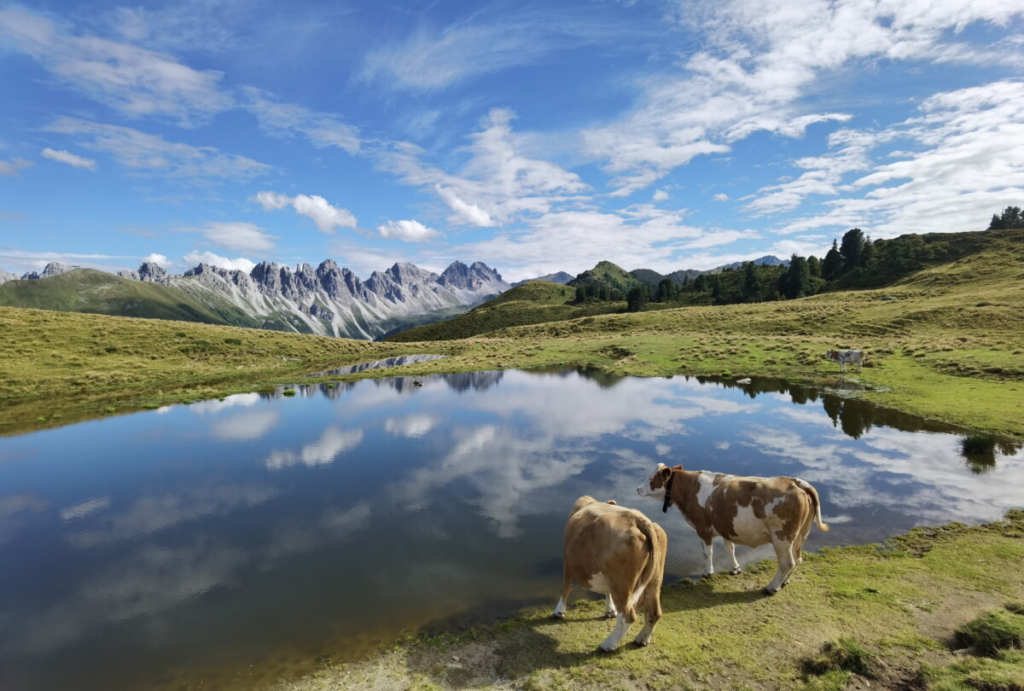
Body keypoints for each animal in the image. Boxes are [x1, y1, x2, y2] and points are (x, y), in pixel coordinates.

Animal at [554, 497, 668, 652]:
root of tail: (640, 520)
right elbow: (607, 593)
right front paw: (610, 610)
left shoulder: (567, 562)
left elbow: (565, 587)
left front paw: (559, 611)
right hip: (654, 579)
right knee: (654, 612)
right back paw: (641, 639)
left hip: (622, 582)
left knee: (628, 615)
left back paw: (607, 644)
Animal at [637, 464, 829, 595]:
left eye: (652, 478)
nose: (638, 489)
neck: (689, 489)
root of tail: (798, 482)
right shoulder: (725, 525)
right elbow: (730, 548)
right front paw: (735, 568)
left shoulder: (702, 527)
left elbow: (708, 552)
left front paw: (708, 572)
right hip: (801, 534)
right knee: (798, 559)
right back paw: (783, 583)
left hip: (782, 536)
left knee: (787, 562)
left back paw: (772, 587)